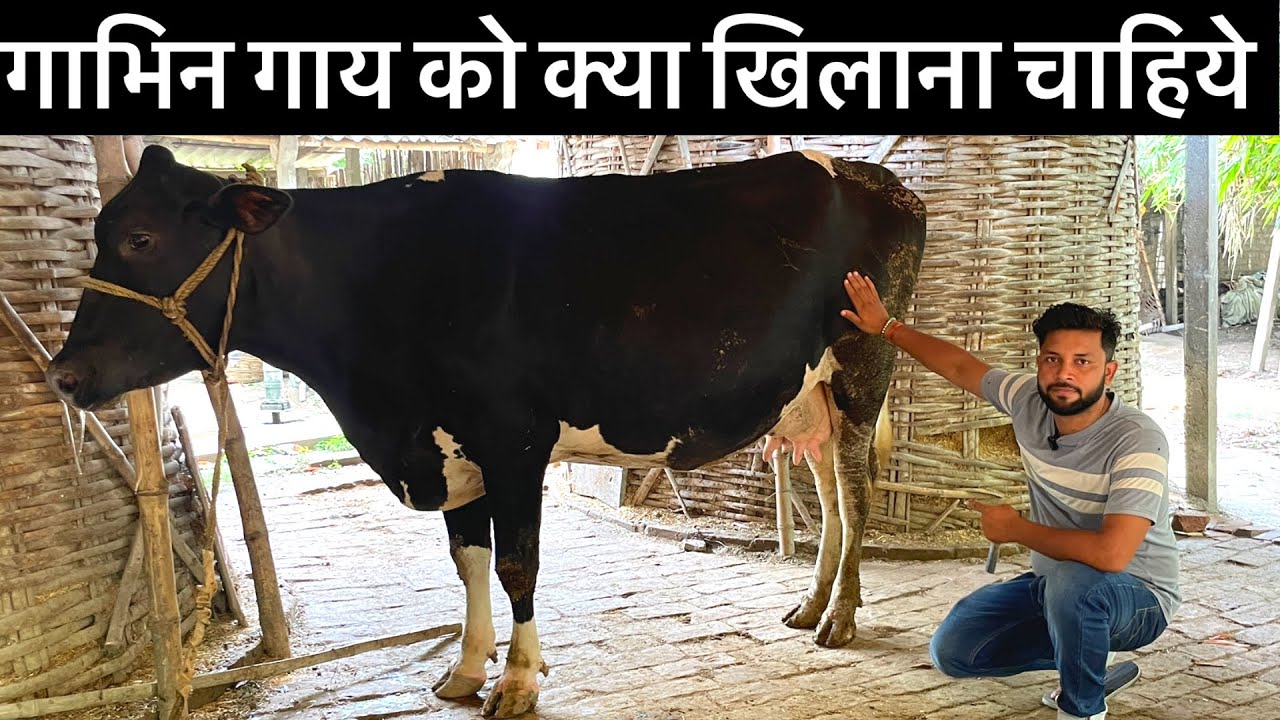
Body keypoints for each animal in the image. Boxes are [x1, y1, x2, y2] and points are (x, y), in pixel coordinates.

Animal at [45, 143, 926, 718]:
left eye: (142, 238)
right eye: (101, 231)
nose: (64, 374)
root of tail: (877, 178)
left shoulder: (512, 441)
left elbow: (517, 565)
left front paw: (520, 681)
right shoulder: (448, 447)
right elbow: (467, 560)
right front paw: (468, 669)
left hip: (864, 364)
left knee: (856, 493)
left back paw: (842, 618)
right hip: (807, 394)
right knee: (828, 489)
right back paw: (810, 605)